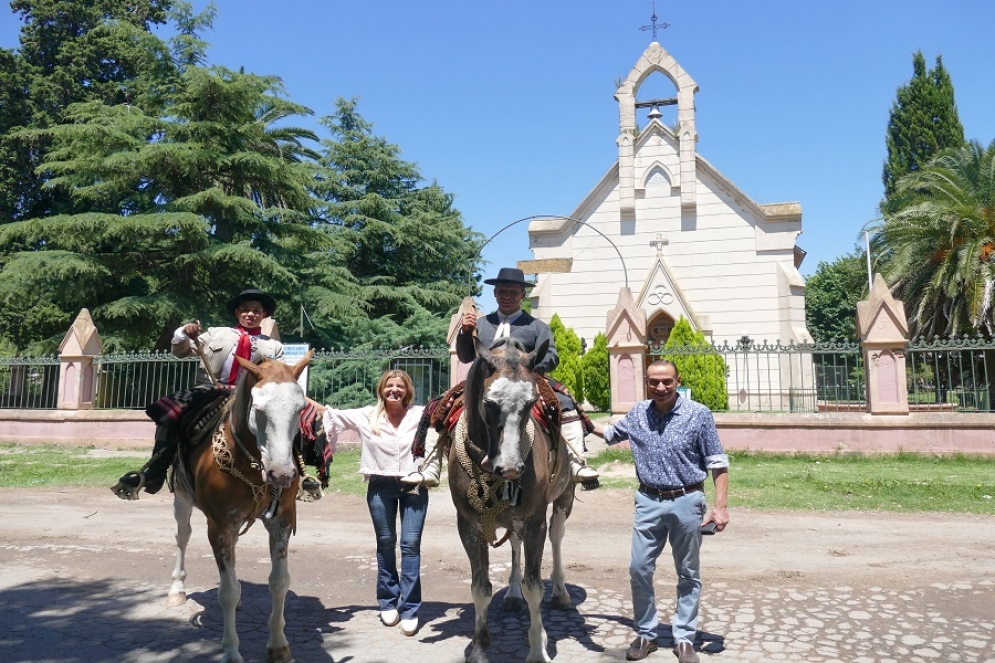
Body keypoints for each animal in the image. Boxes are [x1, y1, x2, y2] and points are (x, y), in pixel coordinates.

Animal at [165, 352, 312, 663]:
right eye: (258, 408)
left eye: (300, 408)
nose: (282, 474)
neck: (252, 466)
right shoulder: (219, 526)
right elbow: (227, 592)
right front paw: (231, 650)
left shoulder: (281, 519)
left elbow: (279, 581)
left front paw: (278, 645)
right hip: (182, 499)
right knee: (182, 537)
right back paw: (176, 590)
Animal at [450, 340, 576, 663]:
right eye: (489, 402)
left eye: (531, 403)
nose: (509, 468)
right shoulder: (468, 525)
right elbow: (480, 587)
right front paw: (479, 649)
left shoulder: (534, 521)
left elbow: (535, 587)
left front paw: (537, 648)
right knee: (515, 545)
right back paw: (512, 593)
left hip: (563, 499)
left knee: (557, 539)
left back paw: (560, 591)